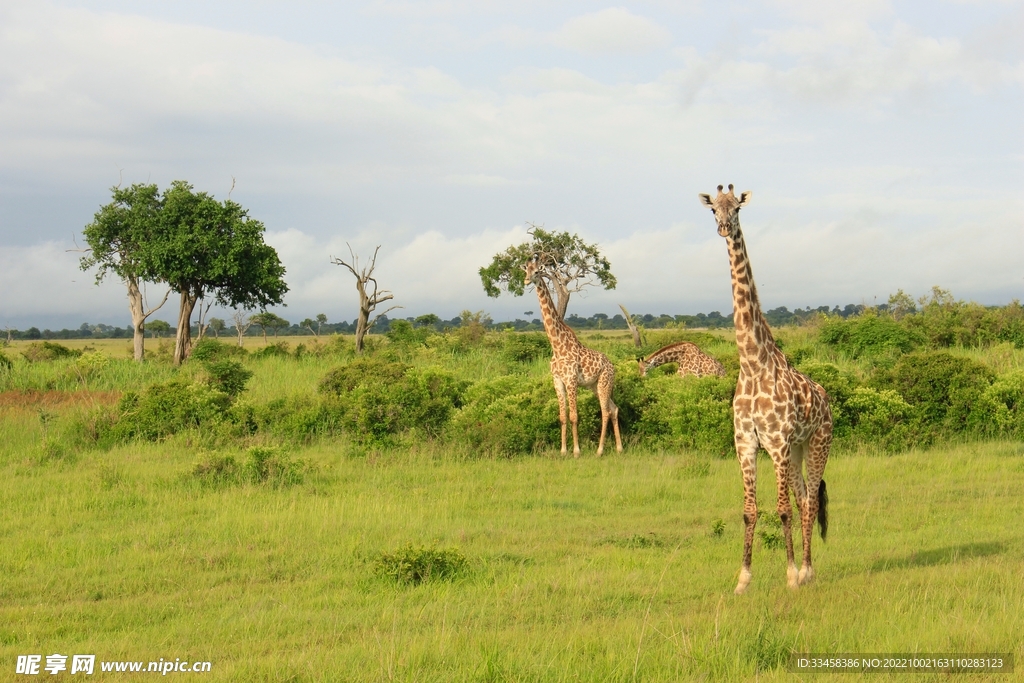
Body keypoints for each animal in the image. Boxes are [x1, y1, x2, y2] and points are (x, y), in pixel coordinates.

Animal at [528, 253, 622, 456]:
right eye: (525, 270)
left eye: (537, 271)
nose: (526, 280)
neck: (557, 346)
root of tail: (612, 366)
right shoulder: (558, 380)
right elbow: (563, 417)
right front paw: (563, 451)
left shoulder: (571, 380)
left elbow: (574, 416)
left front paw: (577, 451)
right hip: (595, 385)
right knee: (614, 408)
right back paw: (619, 448)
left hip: (604, 383)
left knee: (606, 411)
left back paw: (600, 450)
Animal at [696, 184, 831, 593]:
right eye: (713, 210)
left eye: (737, 209)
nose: (724, 228)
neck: (753, 363)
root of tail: (827, 401)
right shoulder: (746, 443)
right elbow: (749, 511)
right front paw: (743, 579)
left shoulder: (777, 443)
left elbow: (782, 510)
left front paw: (789, 575)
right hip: (798, 450)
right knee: (804, 499)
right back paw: (805, 569)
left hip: (817, 444)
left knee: (809, 501)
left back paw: (807, 571)